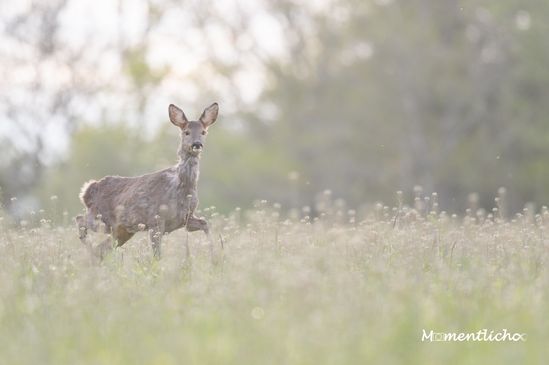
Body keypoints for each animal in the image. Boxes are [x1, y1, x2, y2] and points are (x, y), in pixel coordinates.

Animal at [74, 101, 218, 258]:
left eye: (203, 132)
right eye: (186, 132)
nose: (197, 144)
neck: (182, 187)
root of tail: (87, 191)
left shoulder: (185, 219)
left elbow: (205, 224)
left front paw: (215, 256)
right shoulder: (155, 220)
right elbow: (157, 255)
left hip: (121, 230)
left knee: (102, 248)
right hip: (101, 218)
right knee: (79, 220)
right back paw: (88, 248)